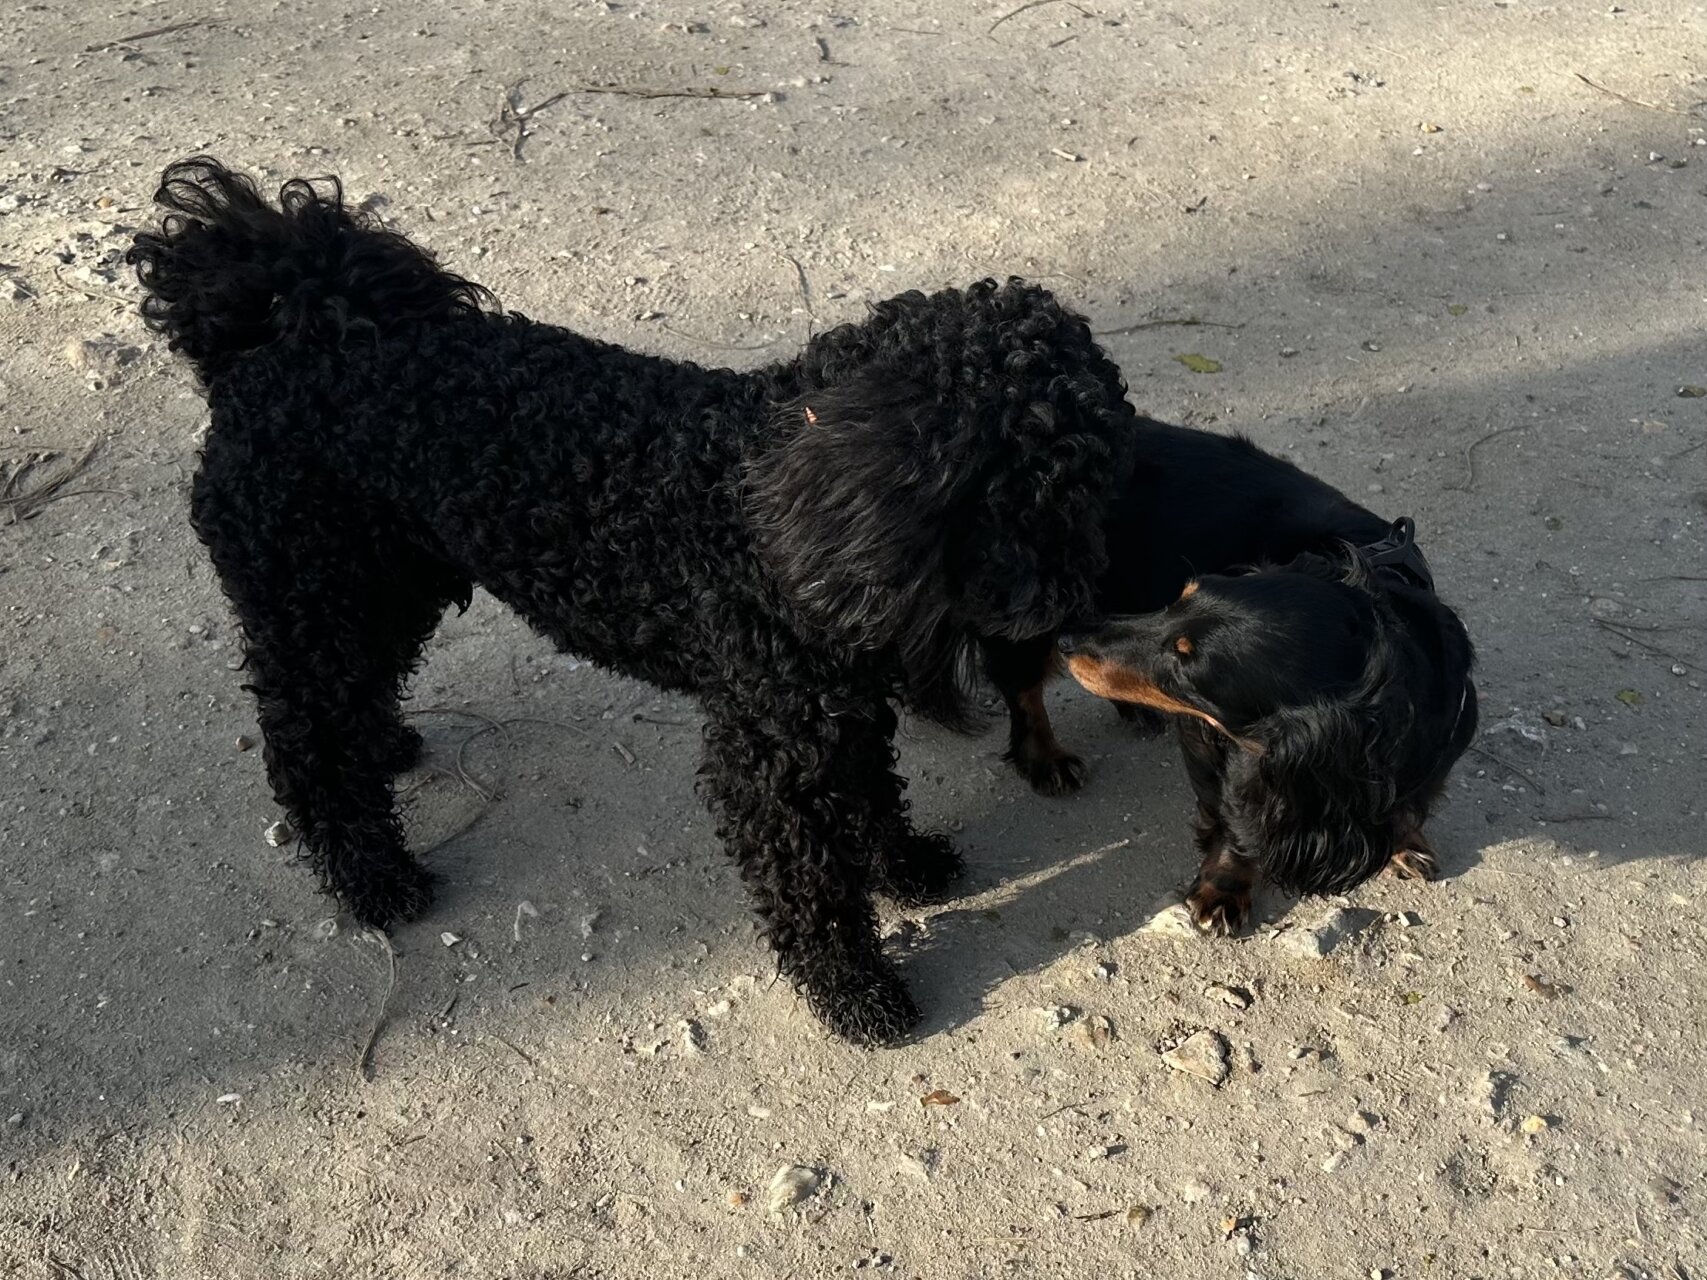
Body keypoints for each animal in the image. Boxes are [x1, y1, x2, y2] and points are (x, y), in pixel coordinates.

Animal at [129, 155, 1133, 1044]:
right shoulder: (772, 747)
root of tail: (271, 349)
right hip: (312, 599)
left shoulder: (830, 712)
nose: (1072, 609)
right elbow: (811, 881)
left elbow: (869, 797)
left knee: (359, 699)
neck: (765, 501)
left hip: (386, 590)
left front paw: (906, 864)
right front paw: (857, 993)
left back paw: (389, 747)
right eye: (1022, 494)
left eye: (1093, 481)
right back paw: (374, 878)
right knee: (307, 742)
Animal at [983, 421, 1474, 935]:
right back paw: (1046, 758)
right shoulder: (1222, 749)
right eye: (1178, 599)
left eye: (1185, 666)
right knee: (1021, 686)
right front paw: (1224, 888)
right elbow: (1235, 819)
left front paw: (1405, 841)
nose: (1071, 640)